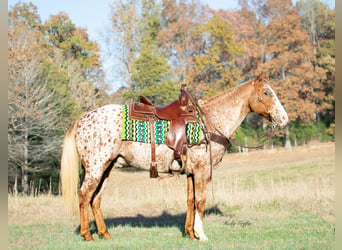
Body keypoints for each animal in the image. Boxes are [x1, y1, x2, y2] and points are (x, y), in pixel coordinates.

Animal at [59, 73, 288, 241]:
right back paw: (87, 235)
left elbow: (190, 200)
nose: (284, 119)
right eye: (267, 92)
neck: (209, 122)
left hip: (106, 169)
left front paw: (190, 233)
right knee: (84, 196)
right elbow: (200, 201)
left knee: (96, 199)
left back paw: (105, 234)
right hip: (95, 168)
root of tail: (83, 118)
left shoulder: (191, 173)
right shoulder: (202, 171)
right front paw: (201, 235)